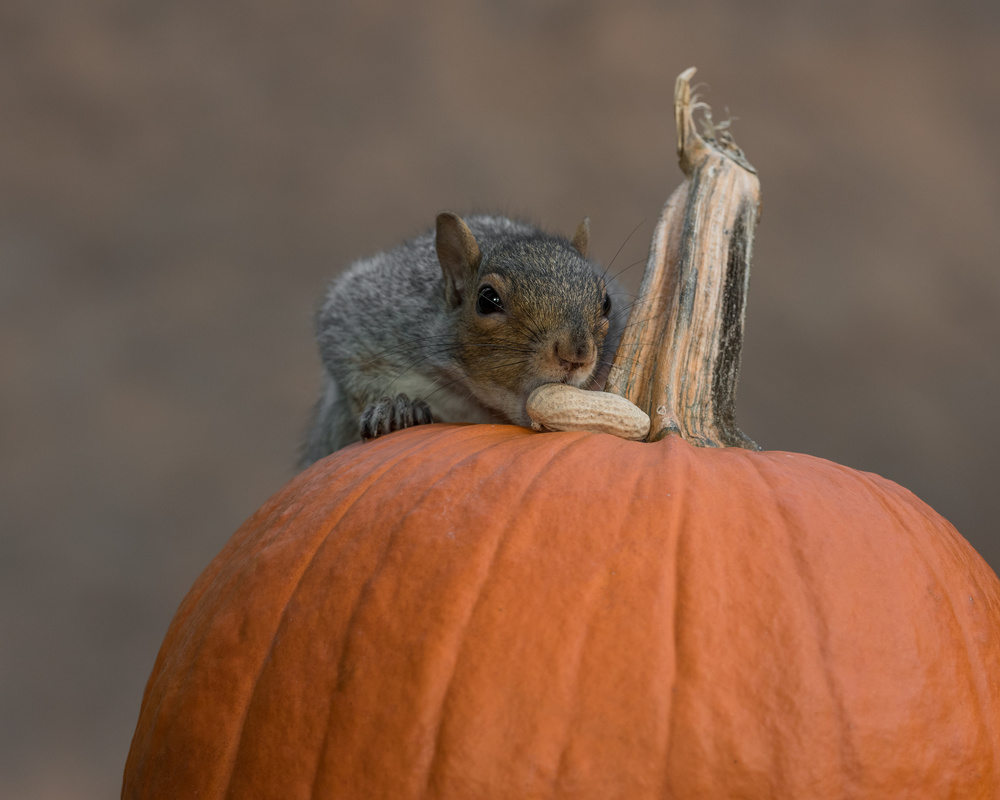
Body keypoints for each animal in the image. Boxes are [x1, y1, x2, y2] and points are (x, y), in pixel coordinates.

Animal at [298, 209, 624, 466]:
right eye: (487, 300)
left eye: (607, 302)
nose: (577, 354)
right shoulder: (367, 316)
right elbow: (352, 364)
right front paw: (391, 408)